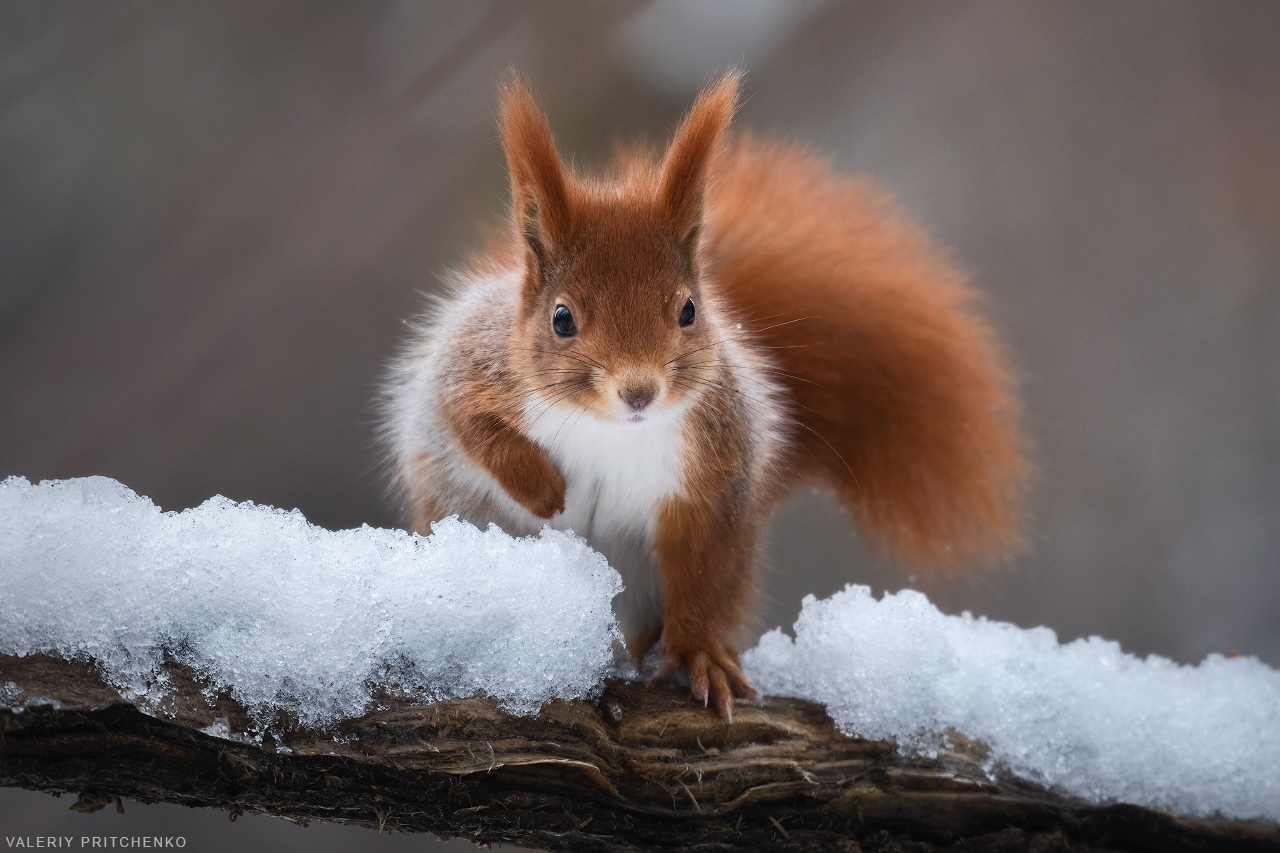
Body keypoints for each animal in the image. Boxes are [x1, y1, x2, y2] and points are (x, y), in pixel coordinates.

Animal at [381, 73, 1029, 712]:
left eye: (689, 310)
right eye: (561, 318)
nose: (639, 392)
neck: (610, 432)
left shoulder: (711, 474)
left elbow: (695, 575)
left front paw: (698, 656)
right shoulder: (469, 366)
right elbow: (468, 422)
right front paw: (540, 488)